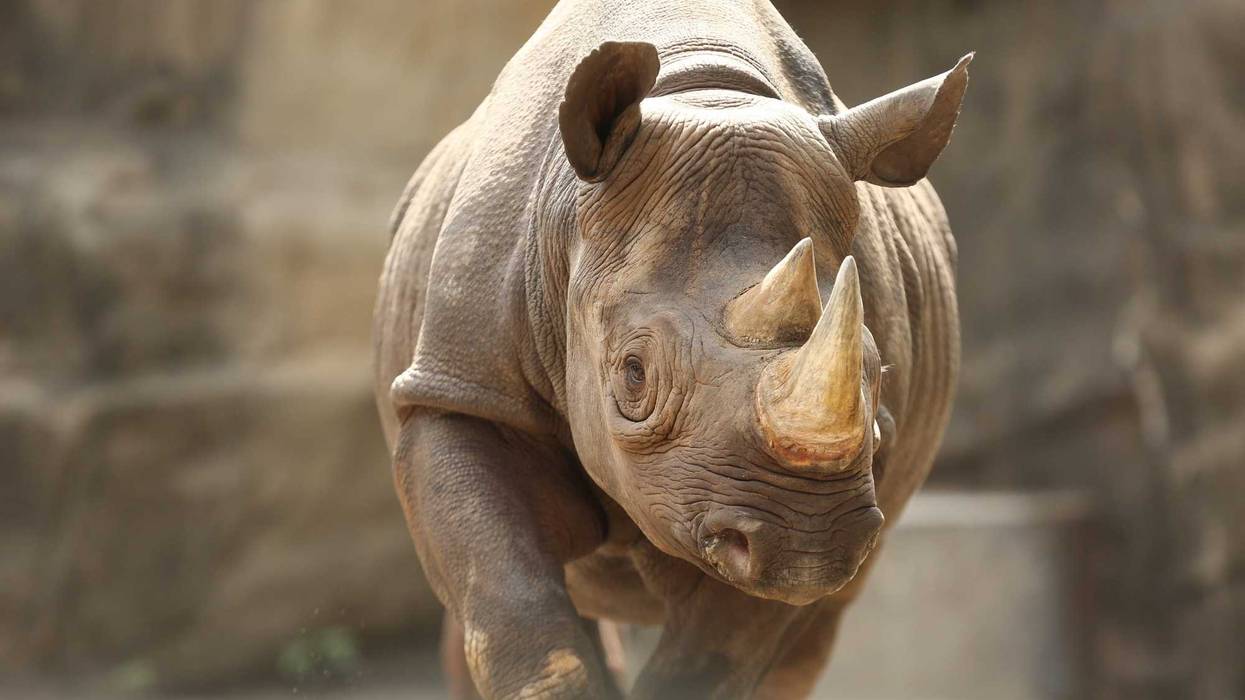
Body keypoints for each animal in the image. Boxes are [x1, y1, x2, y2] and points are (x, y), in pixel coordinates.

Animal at [373, 1, 969, 697]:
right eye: (634, 373)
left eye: (877, 370)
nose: (808, 540)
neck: (702, 92)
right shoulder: (461, 389)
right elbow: (513, 609)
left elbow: (716, 654)